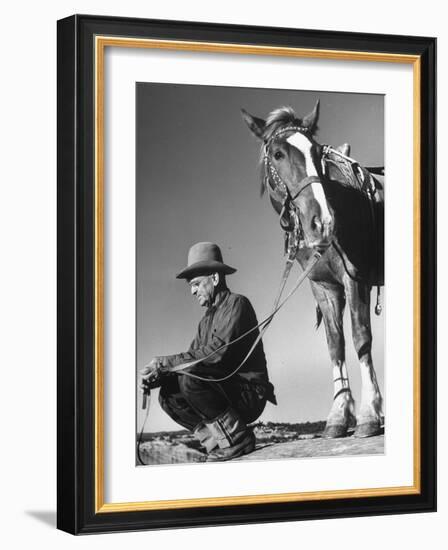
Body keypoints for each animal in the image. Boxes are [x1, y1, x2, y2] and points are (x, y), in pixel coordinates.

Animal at [242, 100, 384, 440]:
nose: (323, 222)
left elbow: (361, 337)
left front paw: (369, 414)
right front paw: (338, 416)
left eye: (317, 151)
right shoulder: (323, 287)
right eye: (277, 154)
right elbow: (335, 344)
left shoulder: (355, 279)